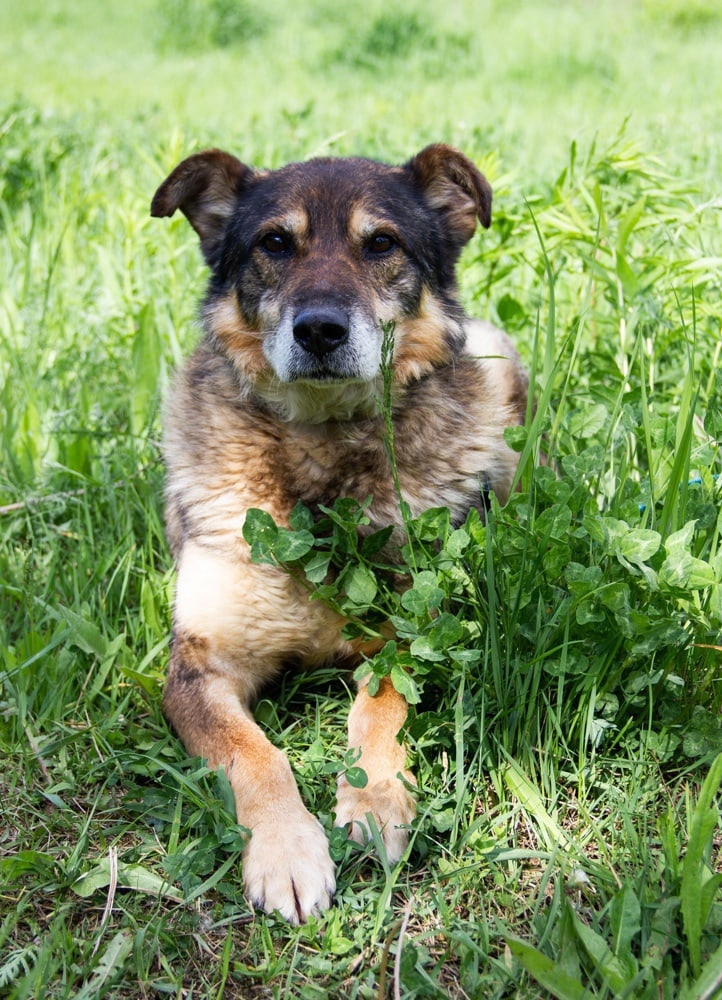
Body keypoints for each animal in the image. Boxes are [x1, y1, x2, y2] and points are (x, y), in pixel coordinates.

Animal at [150, 146, 524, 920]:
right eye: (274, 243)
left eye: (381, 243)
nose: (319, 329)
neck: (321, 455)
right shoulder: (199, 667)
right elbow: (254, 753)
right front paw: (288, 851)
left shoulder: (411, 635)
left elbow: (378, 711)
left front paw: (375, 802)